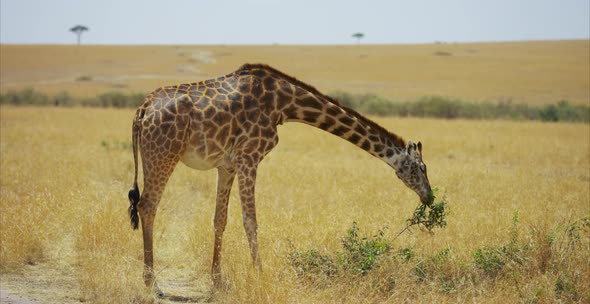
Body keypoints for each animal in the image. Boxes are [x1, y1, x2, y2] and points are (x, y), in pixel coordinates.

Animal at [128, 63, 434, 294]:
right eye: (421, 167)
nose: (429, 197)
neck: (284, 105)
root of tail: (142, 110)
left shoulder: (227, 165)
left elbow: (220, 220)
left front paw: (218, 281)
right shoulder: (249, 156)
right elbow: (250, 221)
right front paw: (260, 274)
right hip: (164, 153)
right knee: (148, 205)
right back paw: (150, 281)